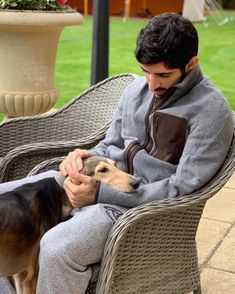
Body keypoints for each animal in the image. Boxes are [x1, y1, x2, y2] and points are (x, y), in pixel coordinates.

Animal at [0, 155, 140, 292]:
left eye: (115, 165)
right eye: (103, 170)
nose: (137, 182)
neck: (60, 196)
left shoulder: (20, 275)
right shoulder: (30, 277)